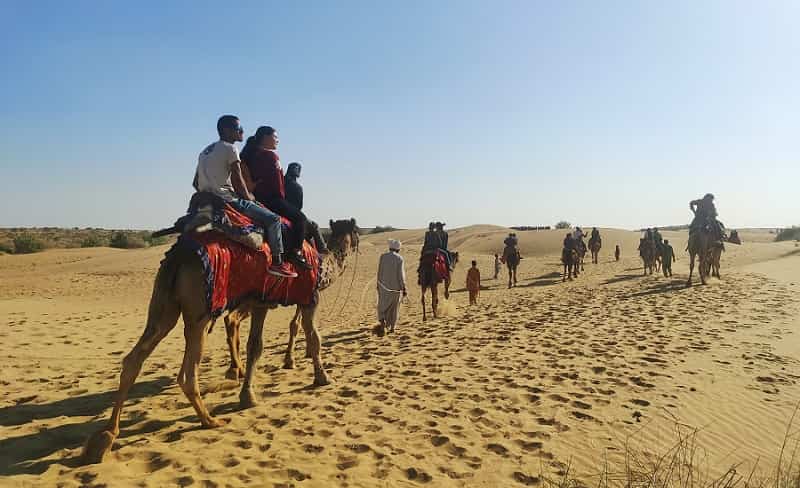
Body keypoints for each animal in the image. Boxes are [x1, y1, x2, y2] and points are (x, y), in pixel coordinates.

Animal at [222, 219, 360, 380]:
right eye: (356, 230)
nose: (357, 244)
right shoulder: (310, 295)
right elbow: (299, 326)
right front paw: (300, 362)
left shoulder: (302, 297)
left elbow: (295, 325)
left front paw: (295, 358)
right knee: (231, 319)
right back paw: (238, 369)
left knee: (230, 320)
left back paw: (235, 368)